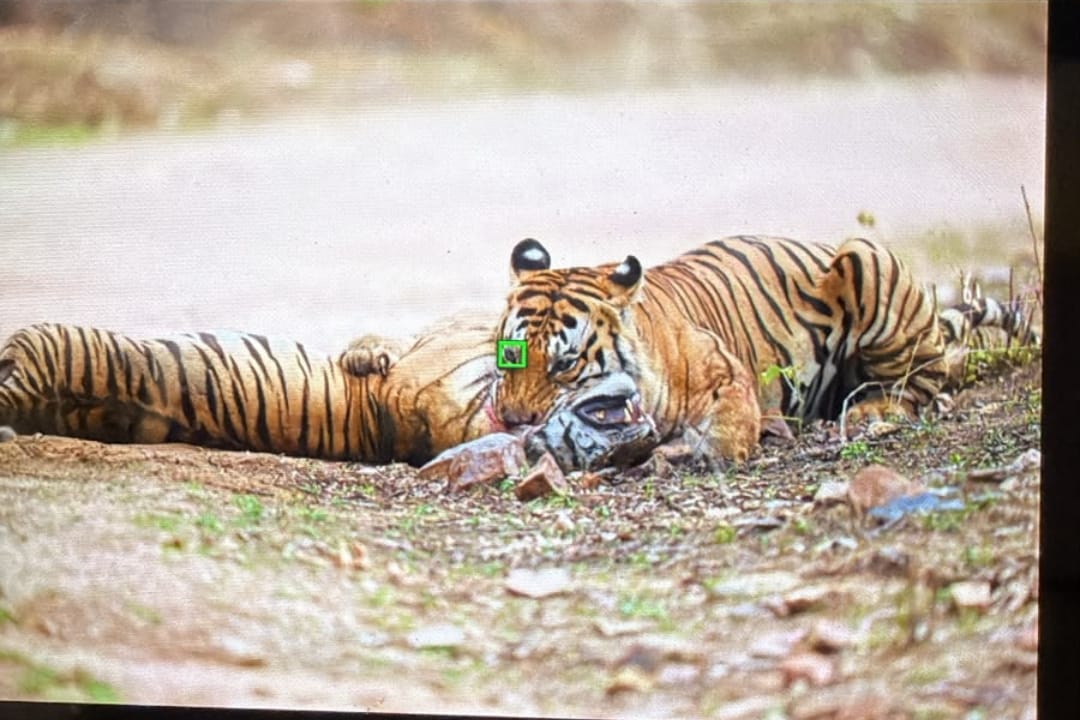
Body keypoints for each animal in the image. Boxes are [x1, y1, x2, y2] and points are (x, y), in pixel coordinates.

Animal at [493, 236, 1039, 462]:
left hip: (867, 259)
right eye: (508, 356)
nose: (512, 422)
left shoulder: (727, 374)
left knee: (926, 379)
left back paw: (871, 411)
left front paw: (691, 452)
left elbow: (728, 426)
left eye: (566, 364)